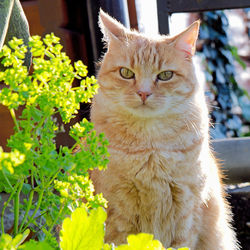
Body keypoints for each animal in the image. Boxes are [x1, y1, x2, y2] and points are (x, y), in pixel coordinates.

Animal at [91, 10, 239, 250]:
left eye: (165, 75)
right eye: (126, 73)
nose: (143, 93)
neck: (151, 148)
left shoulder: (185, 213)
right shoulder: (118, 214)